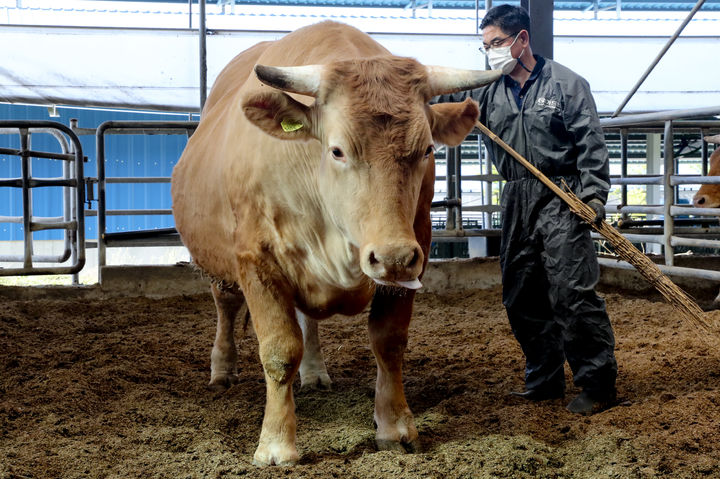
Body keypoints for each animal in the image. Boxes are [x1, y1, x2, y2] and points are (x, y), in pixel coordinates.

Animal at [173, 20, 500, 466]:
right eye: (338, 150)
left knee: (308, 321)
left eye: (426, 149)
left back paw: (314, 373)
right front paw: (276, 444)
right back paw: (222, 370)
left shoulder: (416, 248)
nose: (393, 257)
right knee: (225, 304)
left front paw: (395, 427)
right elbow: (279, 349)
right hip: (218, 263)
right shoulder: (255, 260)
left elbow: (388, 342)